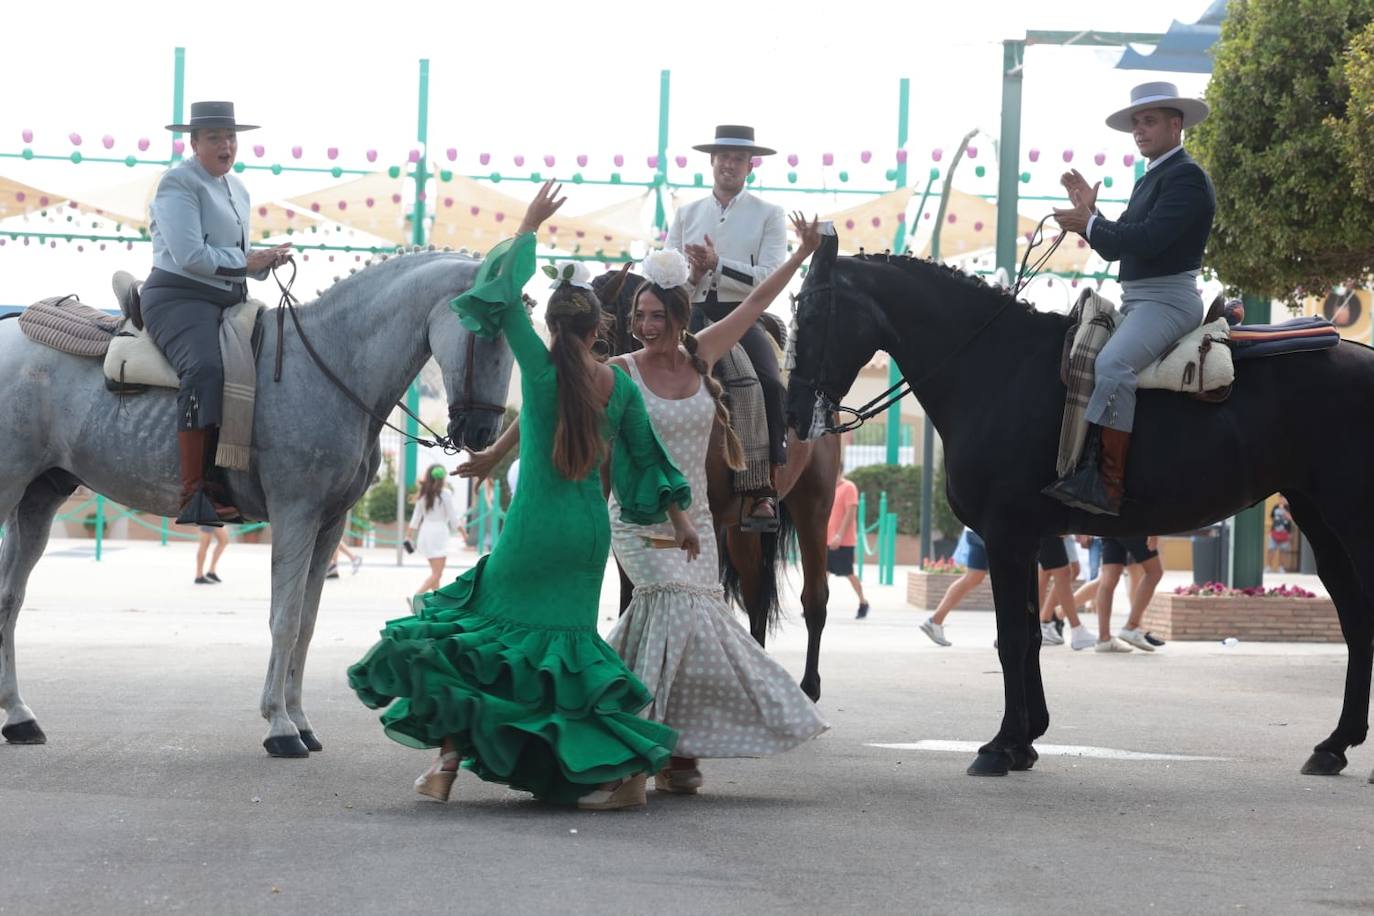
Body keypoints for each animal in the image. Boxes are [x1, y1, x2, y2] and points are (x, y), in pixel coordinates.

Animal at [0, 248, 516, 758]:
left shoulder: (329, 523)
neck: (331, 362)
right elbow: (284, 619)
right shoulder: (295, 514)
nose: (482, 433)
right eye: (485, 327)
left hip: (38, 498)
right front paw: (281, 726)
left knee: (10, 597)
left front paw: (301, 720)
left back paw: (19, 716)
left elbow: (306, 623)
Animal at [596, 269, 840, 697]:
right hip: (743, 529)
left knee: (814, 598)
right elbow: (632, 592)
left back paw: (808, 687)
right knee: (756, 594)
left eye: (598, 333)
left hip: (814, 505)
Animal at [785, 234, 1374, 780]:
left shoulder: (1007, 536)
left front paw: (1000, 745)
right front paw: (1024, 740)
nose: (793, 413)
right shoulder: (1025, 539)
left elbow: (1012, 637)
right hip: (1319, 519)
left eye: (811, 312)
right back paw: (1334, 744)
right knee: (1353, 617)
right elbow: (1027, 634)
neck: (996, 368)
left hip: (1350, 517)